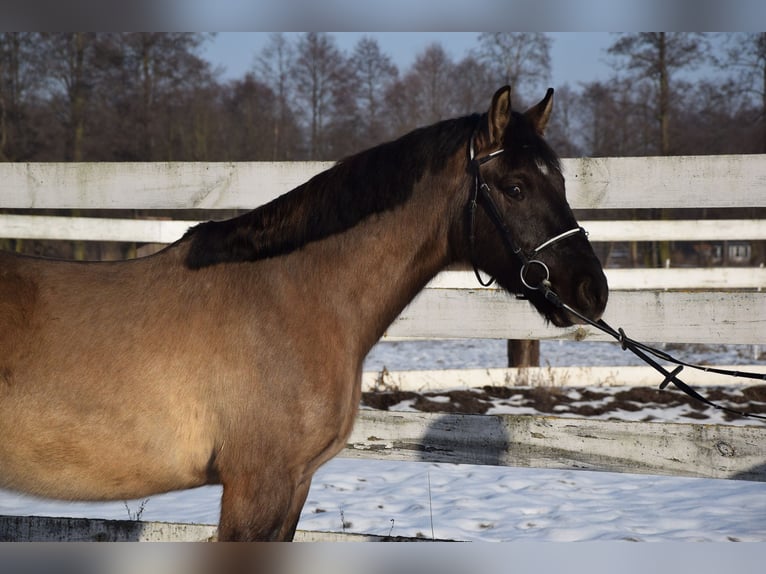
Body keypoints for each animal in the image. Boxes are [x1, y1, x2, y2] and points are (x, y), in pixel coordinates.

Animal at [0, 86, 608, 541]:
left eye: (561, 181)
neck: (290, 300)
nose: (592, 290)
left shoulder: (294, 487)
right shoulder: (257, 489)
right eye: (515, 186)